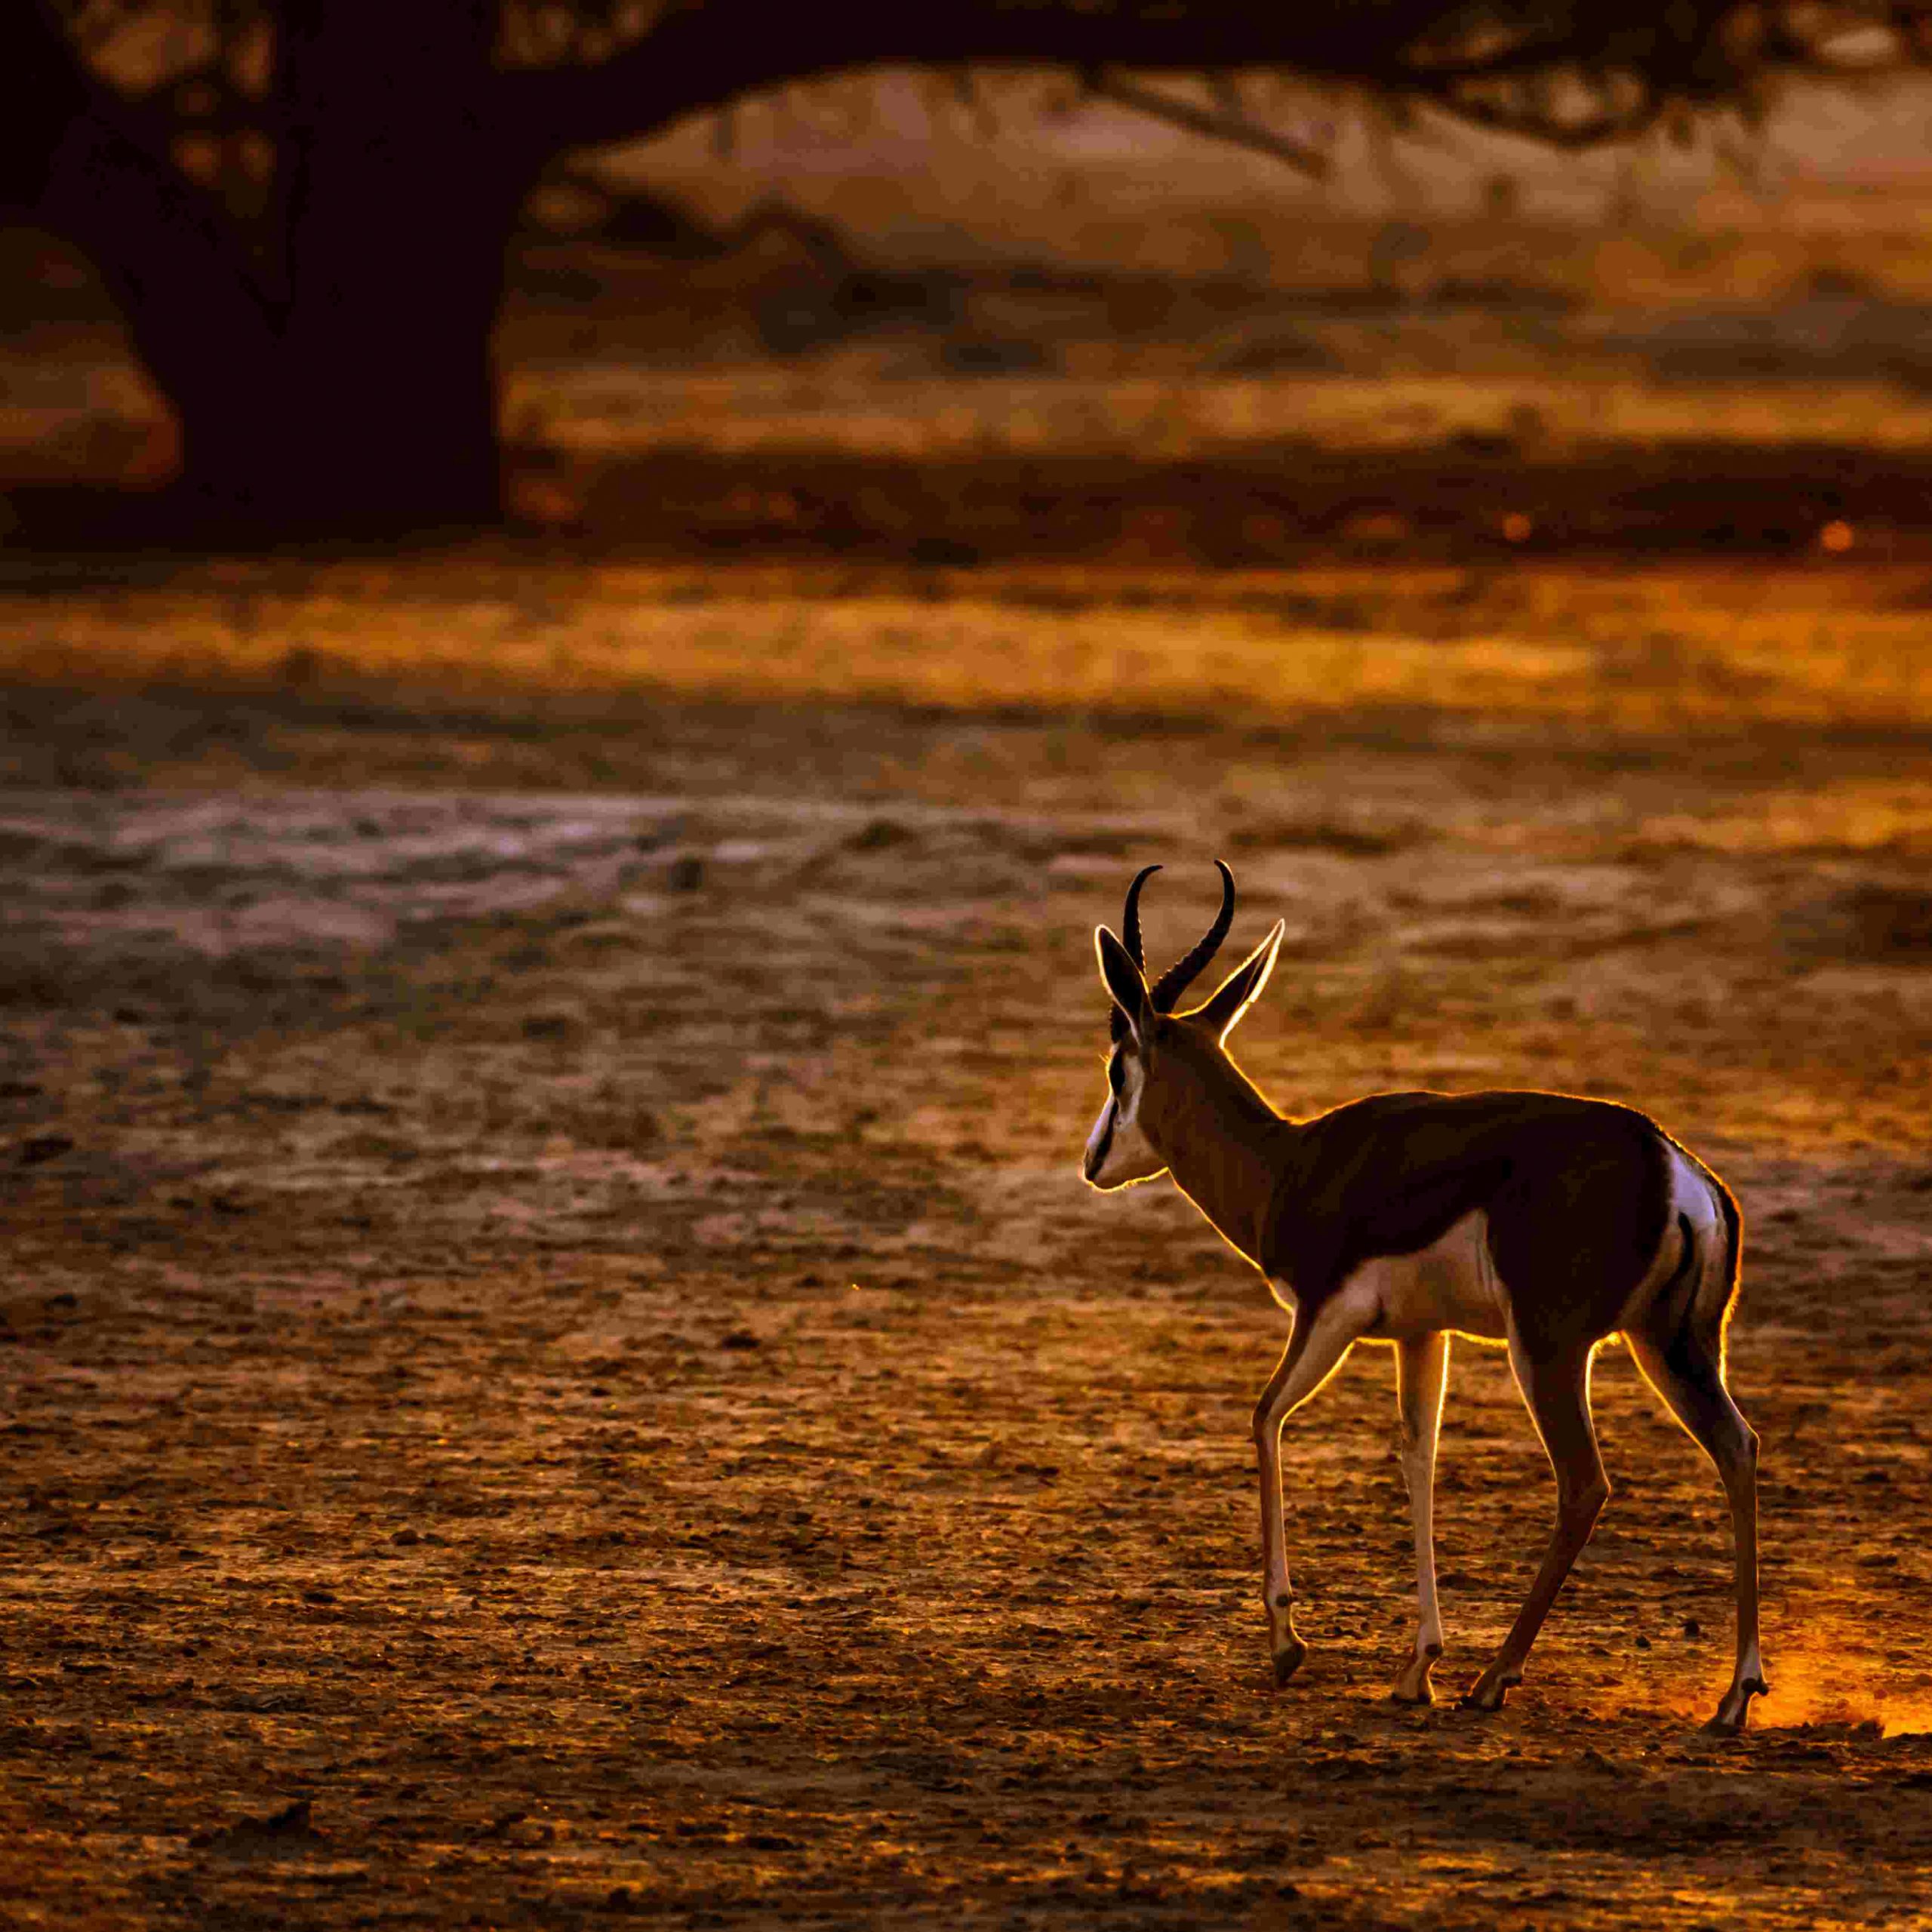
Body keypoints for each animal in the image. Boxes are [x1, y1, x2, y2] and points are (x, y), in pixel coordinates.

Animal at [1081, 862, 1767, 1733]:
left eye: (1116, 1067)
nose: (1093, 1161)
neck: (1288, 1166)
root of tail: (1672, 1166)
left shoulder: (1326, 1315)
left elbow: (1265, 1417)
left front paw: (1288, 1645)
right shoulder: (1420, 1334)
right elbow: (1419, 1455)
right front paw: (1417, 1665)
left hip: (1548, 1347)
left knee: (1586, 1482)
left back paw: (1495, 1678)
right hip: (1673, 1346)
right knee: (1737, 1446)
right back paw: (1735, 1693)